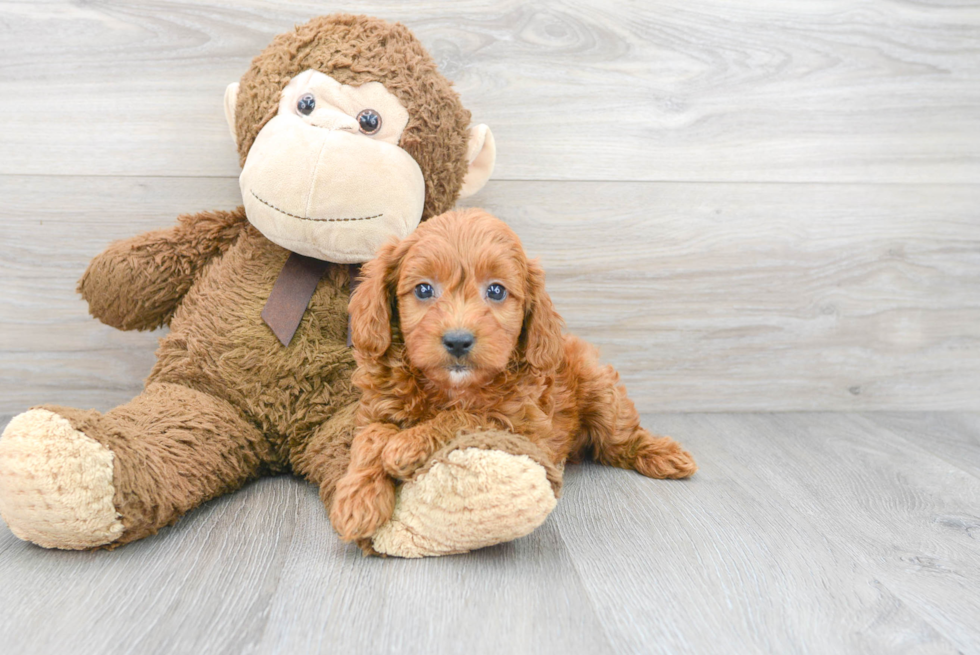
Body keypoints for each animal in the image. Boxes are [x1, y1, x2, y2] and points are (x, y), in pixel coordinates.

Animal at [332, 209, 696, 544]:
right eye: (423, 289)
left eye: (496, 291)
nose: (458, 340)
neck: (451, 388)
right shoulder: (374, 408)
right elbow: (371, 436)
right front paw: (358, 500)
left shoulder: (521, 427)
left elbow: (466, 417)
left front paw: (407, 444)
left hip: (602, 391)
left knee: (619, 438)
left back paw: (664, 455)